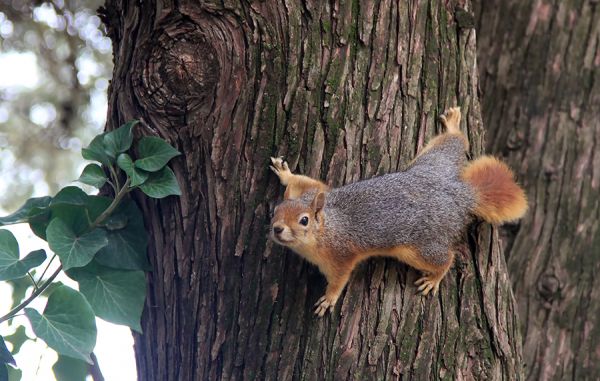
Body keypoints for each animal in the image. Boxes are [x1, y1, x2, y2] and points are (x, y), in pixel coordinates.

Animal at [270, 106, 528, 314]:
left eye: (304, 220)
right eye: (275, 210)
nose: (277, 229)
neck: (326, 228)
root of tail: (461, 194)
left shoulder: (340, 255)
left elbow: (339, 279)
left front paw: (329, 299)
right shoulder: (317, 191)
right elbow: (310, 183)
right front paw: (285, 173)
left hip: (419, 247)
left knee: (446, 258)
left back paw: (434, 278)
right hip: (434, 162)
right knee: (453, 143)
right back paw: (453, 125)